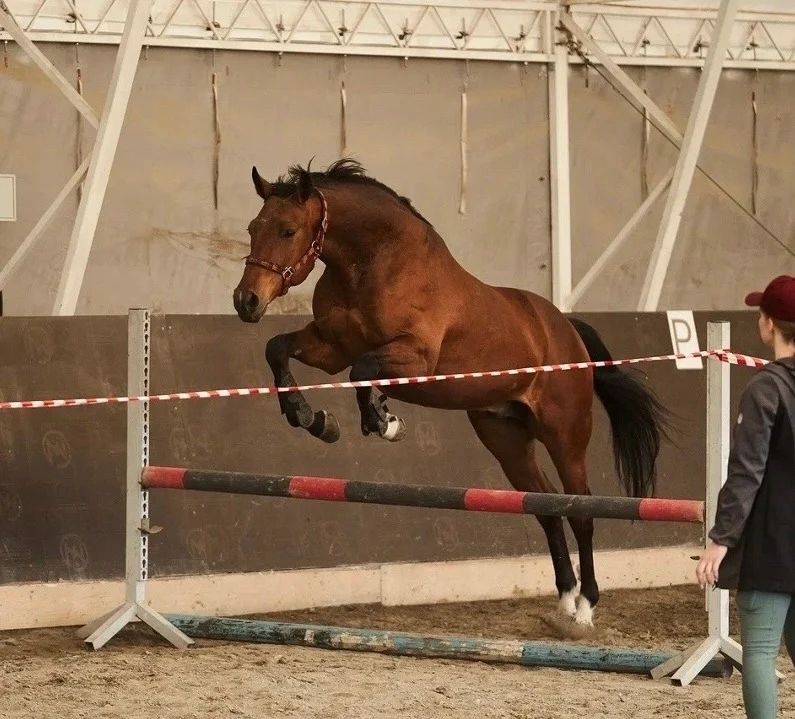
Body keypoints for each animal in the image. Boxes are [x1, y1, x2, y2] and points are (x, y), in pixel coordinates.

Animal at [232, 158, 671, 627]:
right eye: (253, 227)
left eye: (288, 230)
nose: (246, 301)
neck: (373, 263)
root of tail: (567, 331)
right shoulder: (330, 348)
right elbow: (279, 349)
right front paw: (312, 419)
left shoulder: (416, 359)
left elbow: (362, 370)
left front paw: (384, 421)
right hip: (506, 438)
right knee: (546, 508)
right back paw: (566, 599)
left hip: (564, 435)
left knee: (581, 510)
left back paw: (585, 607)